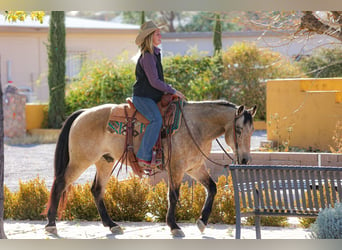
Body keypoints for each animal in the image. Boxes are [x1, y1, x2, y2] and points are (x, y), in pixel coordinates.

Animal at [43, 98, 256, 237]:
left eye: (252, 130)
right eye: (238, 130)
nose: (245, 159)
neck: (195, 127)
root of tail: (82, 113)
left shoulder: (194, 167)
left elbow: (212, 188)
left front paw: (202, 222)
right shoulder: (177, 168)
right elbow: (173, 195)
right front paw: (174, 226)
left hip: (105, 161)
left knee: (97, 190)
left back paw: (112, 225)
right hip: (80, 161)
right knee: (60, 183)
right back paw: (51, 224)